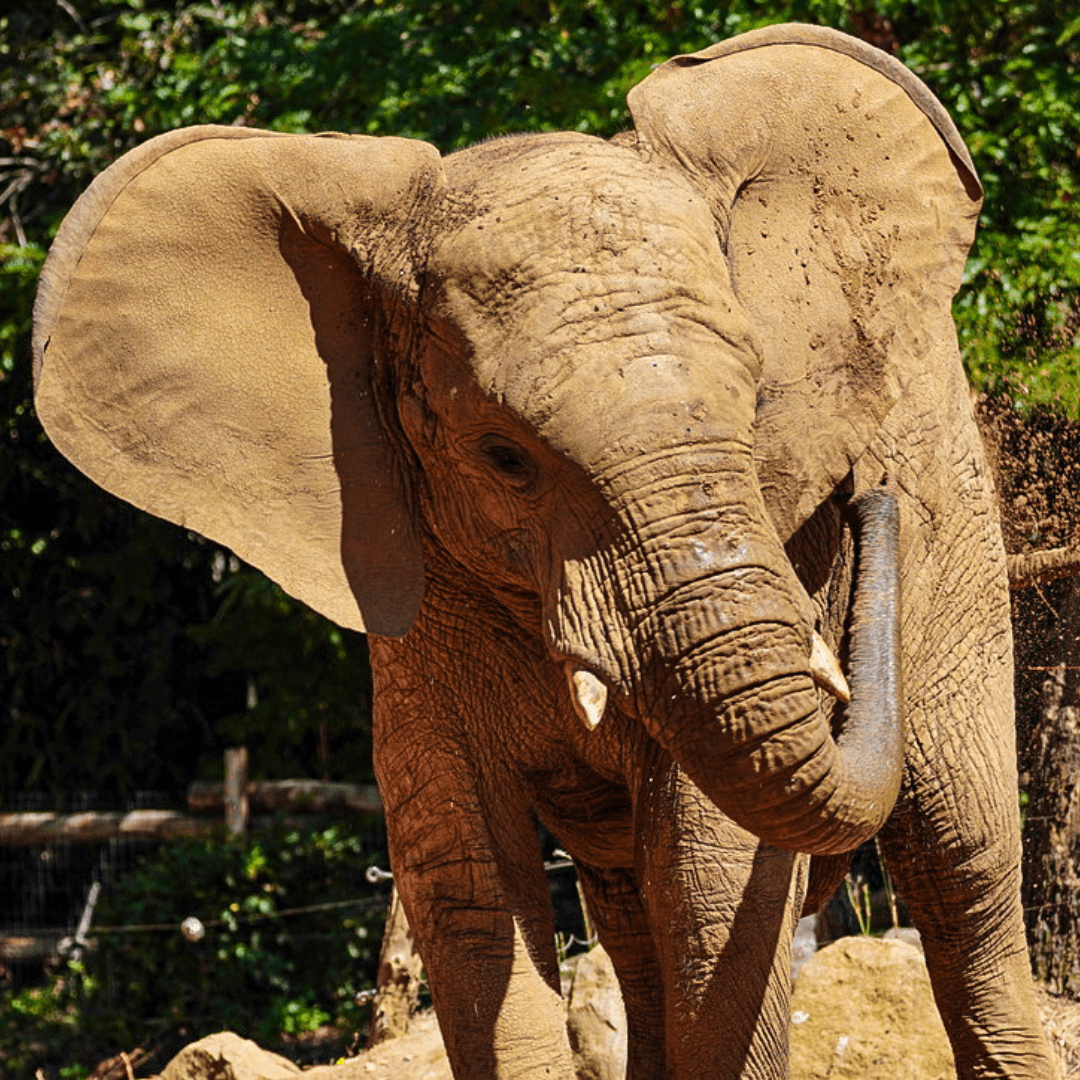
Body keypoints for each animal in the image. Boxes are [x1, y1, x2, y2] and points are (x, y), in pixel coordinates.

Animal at [31, 19, 1054, 1080]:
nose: (867, 492)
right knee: (629, 912)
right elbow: (470, 894)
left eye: (756, 399)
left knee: (964, 863)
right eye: (503, 457)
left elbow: (716, 886)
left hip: (955, 515)